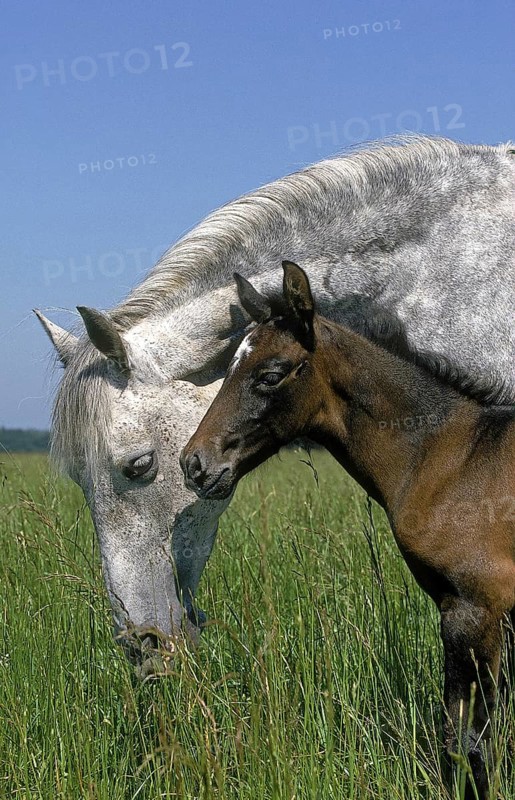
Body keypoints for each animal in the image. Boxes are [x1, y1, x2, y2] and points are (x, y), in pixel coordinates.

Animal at [180, 261, 515, 799]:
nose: (194, 464)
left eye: (270, 375)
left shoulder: (474, 610)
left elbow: (467, 741)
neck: (451, 456)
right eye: (228, 367)